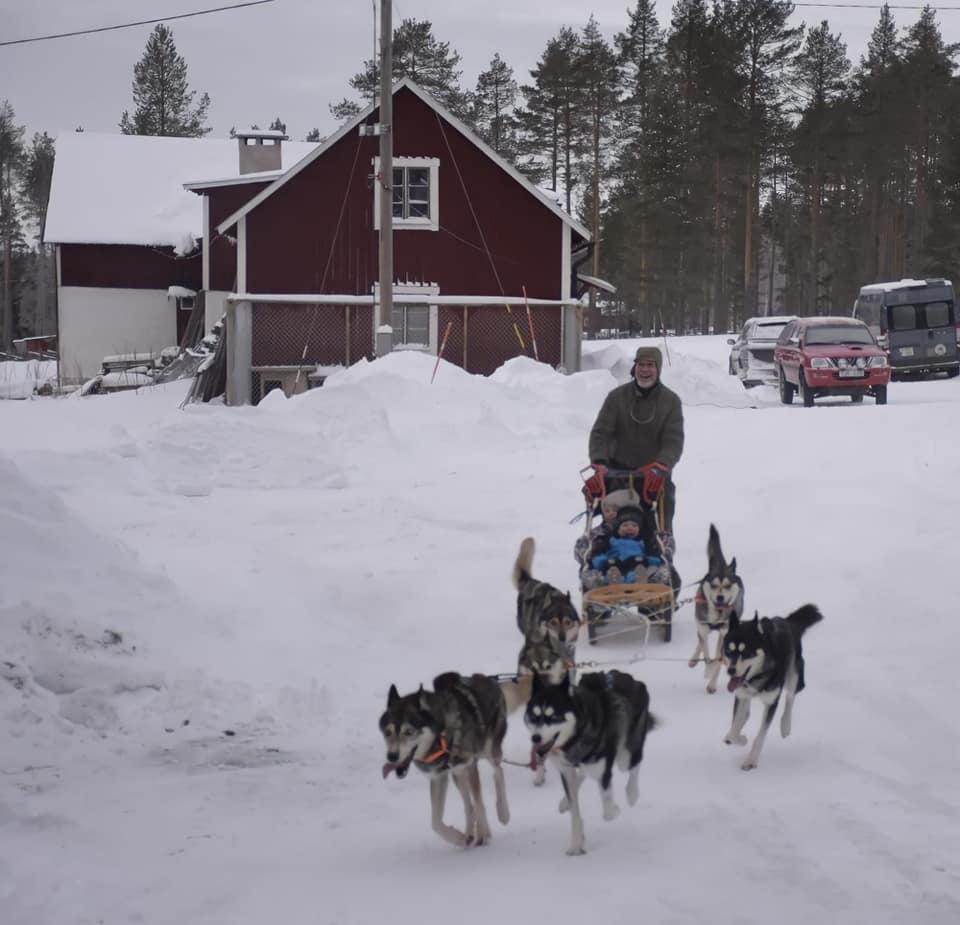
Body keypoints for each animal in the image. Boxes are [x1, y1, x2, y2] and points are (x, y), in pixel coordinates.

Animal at [378, 672, 510, 844]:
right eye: (388, 732)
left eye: (409, 731)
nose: (392, 756)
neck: (441, 737)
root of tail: (487, 678)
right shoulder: (439, 777)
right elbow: (435, 823)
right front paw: (458, 838)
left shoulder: (469, 765)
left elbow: (479, 803)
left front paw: (483, 832)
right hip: (457, 775)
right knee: (468, 805)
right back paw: (469, 833)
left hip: (488, 751)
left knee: (498, 772)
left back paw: (502, 813)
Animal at [520, 668, 656, 856]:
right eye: (533, 716)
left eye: (553, 717)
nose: (535, 738)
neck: (578, 733)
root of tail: (629, 678)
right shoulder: (566, 771)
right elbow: (575, 812)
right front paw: (577, 843)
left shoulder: (604, 772)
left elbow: (608, 811)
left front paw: (615, 809)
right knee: (583, 773)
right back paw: (565, 802)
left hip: (626, 756)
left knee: (635, 765)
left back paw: (632, 794)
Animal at [688, 528, 744, 692]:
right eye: (713, 585)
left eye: (727, 585)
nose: (720, 597)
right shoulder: (703, 626)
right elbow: (706, 655)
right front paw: (707, 669)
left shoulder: (725, 633)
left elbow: (718, 660)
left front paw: (712, 682)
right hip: (701, 626)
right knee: (700, 640)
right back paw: (694, 659)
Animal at [724, 604, 820, 768]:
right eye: (729, 651)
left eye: (746, 652)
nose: (731, 670)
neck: (759, 675)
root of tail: (787, 621)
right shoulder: (742, 695)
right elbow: (733, 732)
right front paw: (741, 739)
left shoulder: (771, 701)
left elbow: (761, 735)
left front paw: (751, 760)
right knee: (746, 714)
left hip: (794, 676)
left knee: (790, 697)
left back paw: (785, 725)